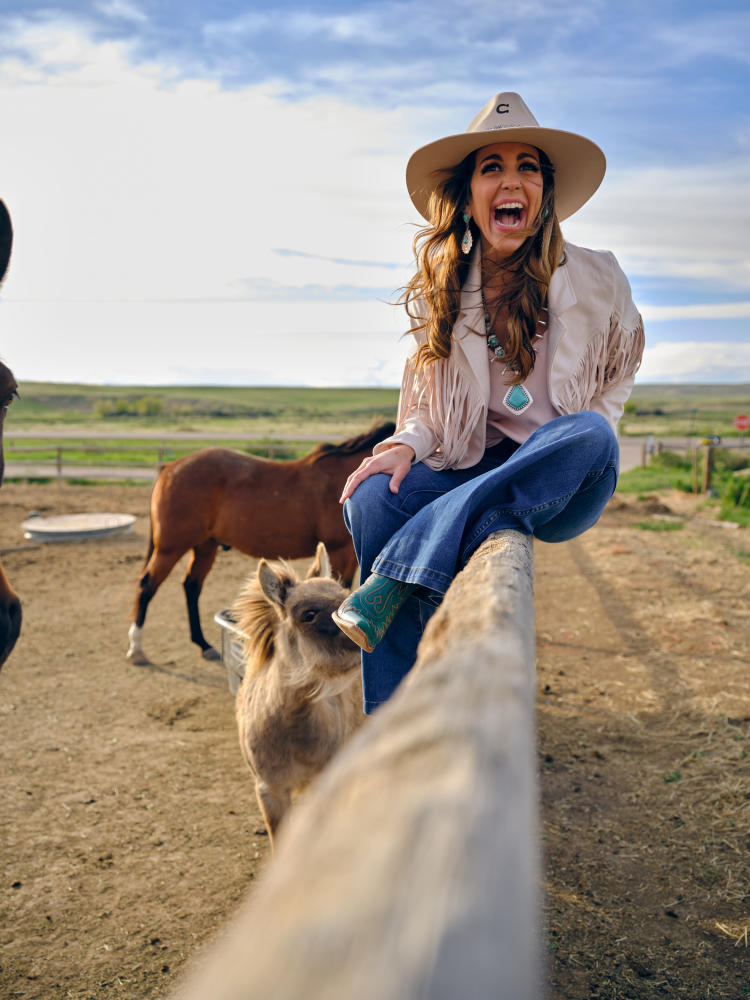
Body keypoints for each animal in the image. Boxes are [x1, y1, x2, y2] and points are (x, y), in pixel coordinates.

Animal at [128, 420, 400, 664]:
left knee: (191, 587)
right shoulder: (338, 551)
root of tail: (170, 468)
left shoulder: (351, 555)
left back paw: (204, 645)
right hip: (170, 548)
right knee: (147, 585)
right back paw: (136, 648)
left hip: (205, 546)